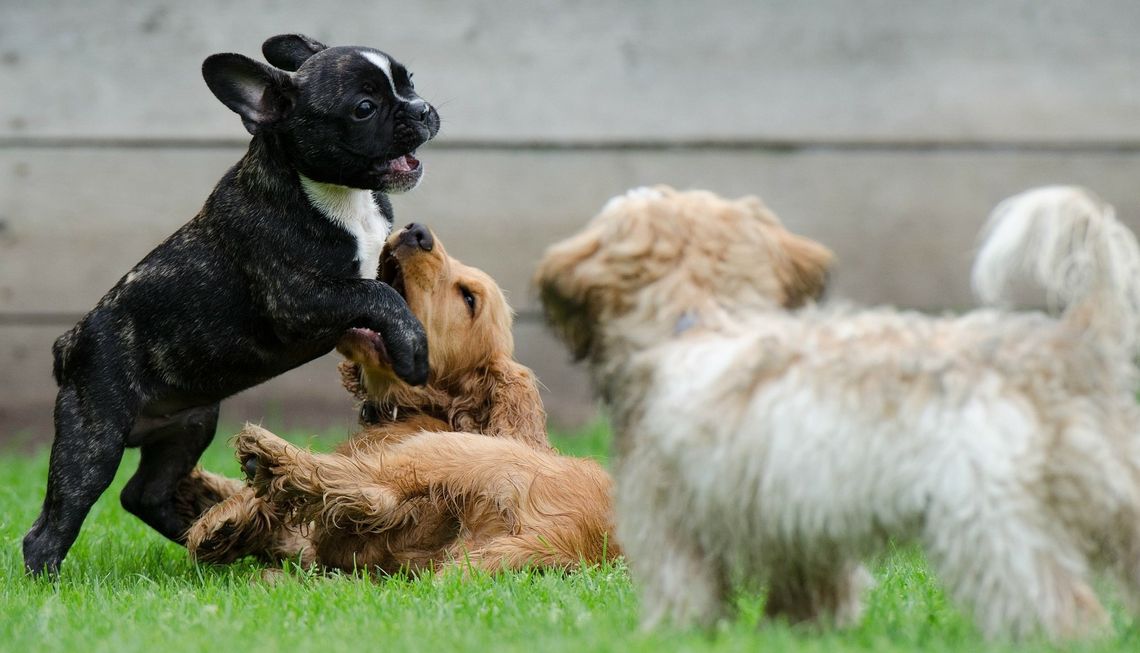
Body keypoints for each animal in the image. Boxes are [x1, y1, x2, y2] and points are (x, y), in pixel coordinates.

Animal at [23, 34, 440, 574]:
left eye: (409, 82)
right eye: (364, 108)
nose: (423, 108)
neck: (338, 195)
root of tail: (69, 342)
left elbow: (387, 288)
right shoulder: (300, 300)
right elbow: (376, 293)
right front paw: (412, 350)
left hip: (189, 425)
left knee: (144, 494)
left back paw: (209, 541)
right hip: (93, 438)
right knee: (55, 523)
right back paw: (49, 579)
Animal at [533, 184, 1140, 642]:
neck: (702, 317)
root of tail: (1067, 346)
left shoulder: (670, 523)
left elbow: (684, 593)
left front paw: (674, 637)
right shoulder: (802, 529)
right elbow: (812, 594)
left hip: (993, 528)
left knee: (1061, 609)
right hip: (1118, 501)